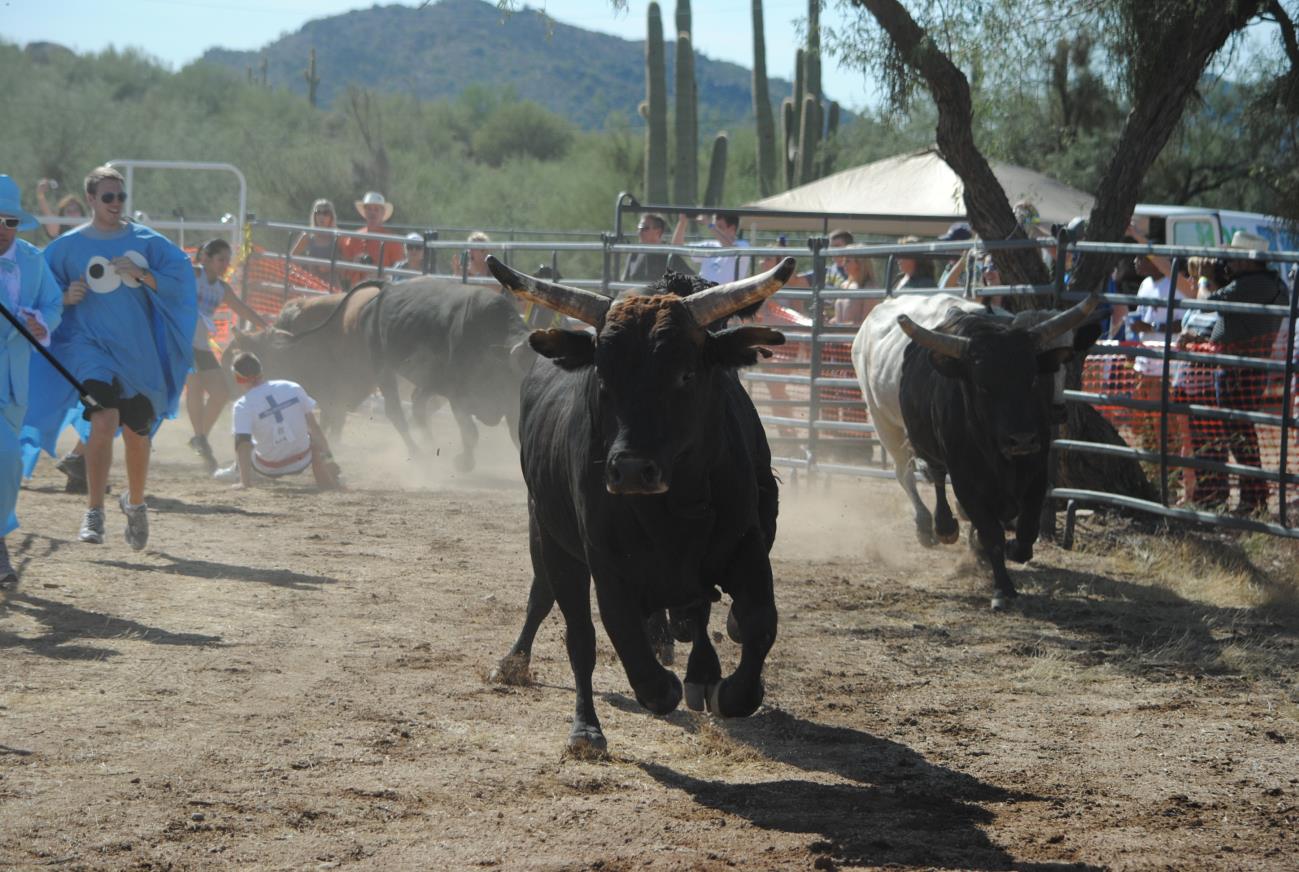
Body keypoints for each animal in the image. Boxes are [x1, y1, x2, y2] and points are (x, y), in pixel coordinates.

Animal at [226, 278, 529, 470]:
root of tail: (386, 289)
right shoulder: (459, 396)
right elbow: (470, 432)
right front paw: (463, 462)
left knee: (416, 406)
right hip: (384, 367)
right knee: (399, 411)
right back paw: (419, 452)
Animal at [485, 256, 794, 753]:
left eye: (686, 374)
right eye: (603, 376)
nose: (630, 470)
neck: (672, 508)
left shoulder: (746, 543)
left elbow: (756, 622)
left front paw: (722, 683)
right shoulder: (605, 561)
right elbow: (624, 640)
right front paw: (662, 683)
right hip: (547, 537)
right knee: (562, 616)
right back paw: (563, 707)